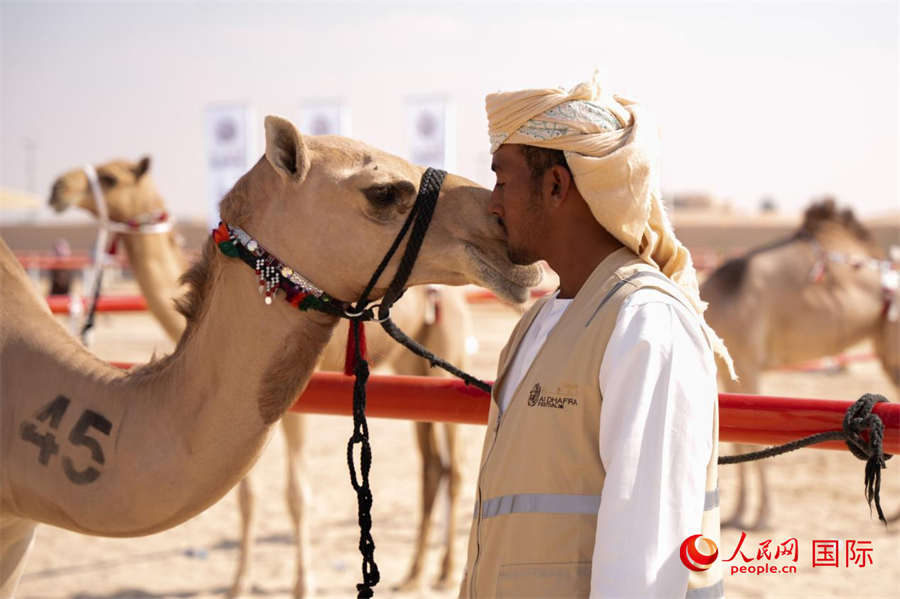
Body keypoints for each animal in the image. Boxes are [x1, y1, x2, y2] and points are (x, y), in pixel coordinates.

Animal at [1, 115, 540, 596]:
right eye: (384, 192)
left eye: (111, 177)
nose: (57, 187)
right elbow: (250, 495)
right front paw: (239, 583)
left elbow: (295, 494)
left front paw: (302, 584)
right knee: (432, 468)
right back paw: (413, 573)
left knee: (454, 469)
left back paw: (442, 573)